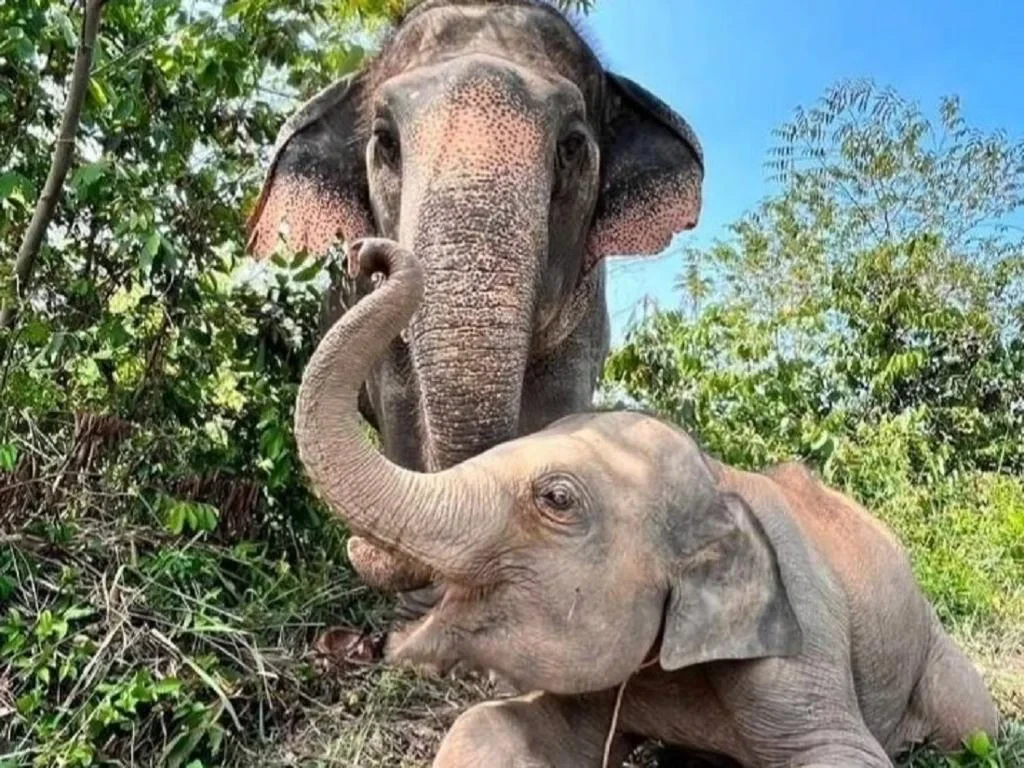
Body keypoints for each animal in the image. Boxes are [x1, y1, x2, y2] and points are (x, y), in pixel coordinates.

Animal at [246, 0, 703, 595]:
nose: (364, 255)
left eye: (571, 146)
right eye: (386, 141)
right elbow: (399, 414)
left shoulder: (585, 315)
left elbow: (557, 411)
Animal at [293, 238, 999, 768]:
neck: (719, 480)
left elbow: (844, 755)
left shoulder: (800, 639)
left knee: (976, 725)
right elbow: (500, 728)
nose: (363, 252)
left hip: (942, 661)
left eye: (556, 498)